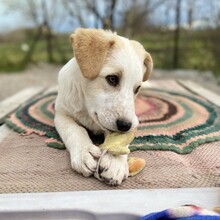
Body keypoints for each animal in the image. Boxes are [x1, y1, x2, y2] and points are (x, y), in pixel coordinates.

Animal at [54, 28, 153, 185]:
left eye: (137, 88)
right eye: (112, 79)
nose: (125, 126)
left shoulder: (132, 121)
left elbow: (119, 141)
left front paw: (115, 162)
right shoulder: (61, 114)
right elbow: (75, 130)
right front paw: (85, 151)